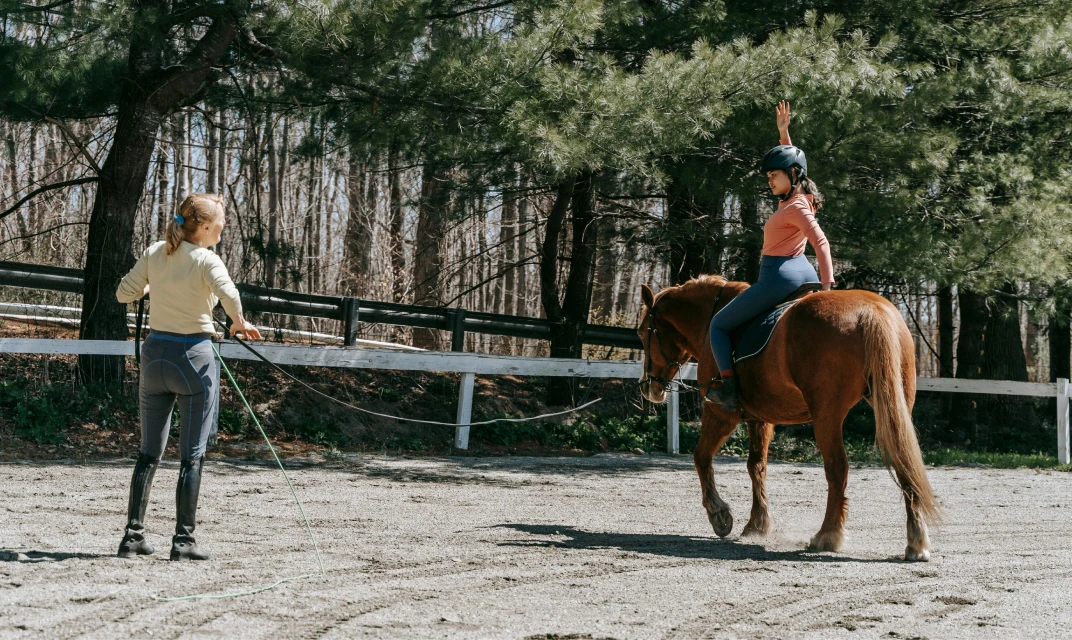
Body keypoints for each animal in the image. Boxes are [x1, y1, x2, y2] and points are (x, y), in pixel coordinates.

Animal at [636, 276, 940, 561]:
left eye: (642, 332)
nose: (647, 387)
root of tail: (871, 310)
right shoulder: (760, 419)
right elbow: (756, 466)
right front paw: (757, 524)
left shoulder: (720, 413)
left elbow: (701, 456)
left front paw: (720, 515)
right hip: (895, 406)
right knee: (903, 462)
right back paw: (916, 541)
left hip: (827, 415)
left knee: (837, 468)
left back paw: (827, 535)